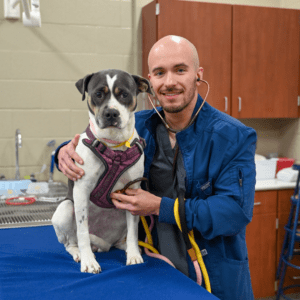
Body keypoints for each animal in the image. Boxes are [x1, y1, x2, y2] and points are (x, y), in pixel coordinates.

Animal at [51, 69, 151, 274]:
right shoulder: (81, 191)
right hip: (65, 210)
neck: (114, 145)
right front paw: (89, 262)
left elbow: (133, 230)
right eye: (98, 94)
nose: (111, 113)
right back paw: (79, 253)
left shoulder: (133, 193)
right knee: (71, 242)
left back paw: (127, 248)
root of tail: (105, 244)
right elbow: (82, 231)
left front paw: (134, 255)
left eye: (124, 94)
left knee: (125, 236)